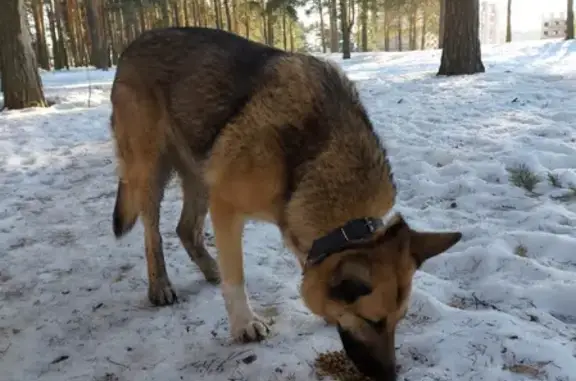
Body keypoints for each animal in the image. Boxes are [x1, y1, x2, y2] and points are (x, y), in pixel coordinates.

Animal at [109, 25, 464, 378]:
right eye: (371, 321)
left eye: (397, 321)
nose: (391, 375)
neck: (320, 153)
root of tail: (133, 44)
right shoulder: (226, 206)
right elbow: (236, 276)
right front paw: (244, 323)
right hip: (149, 173)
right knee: (152, 234)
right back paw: (160, 286)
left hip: (199, 173)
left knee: (186, 229)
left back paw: (210, 270)